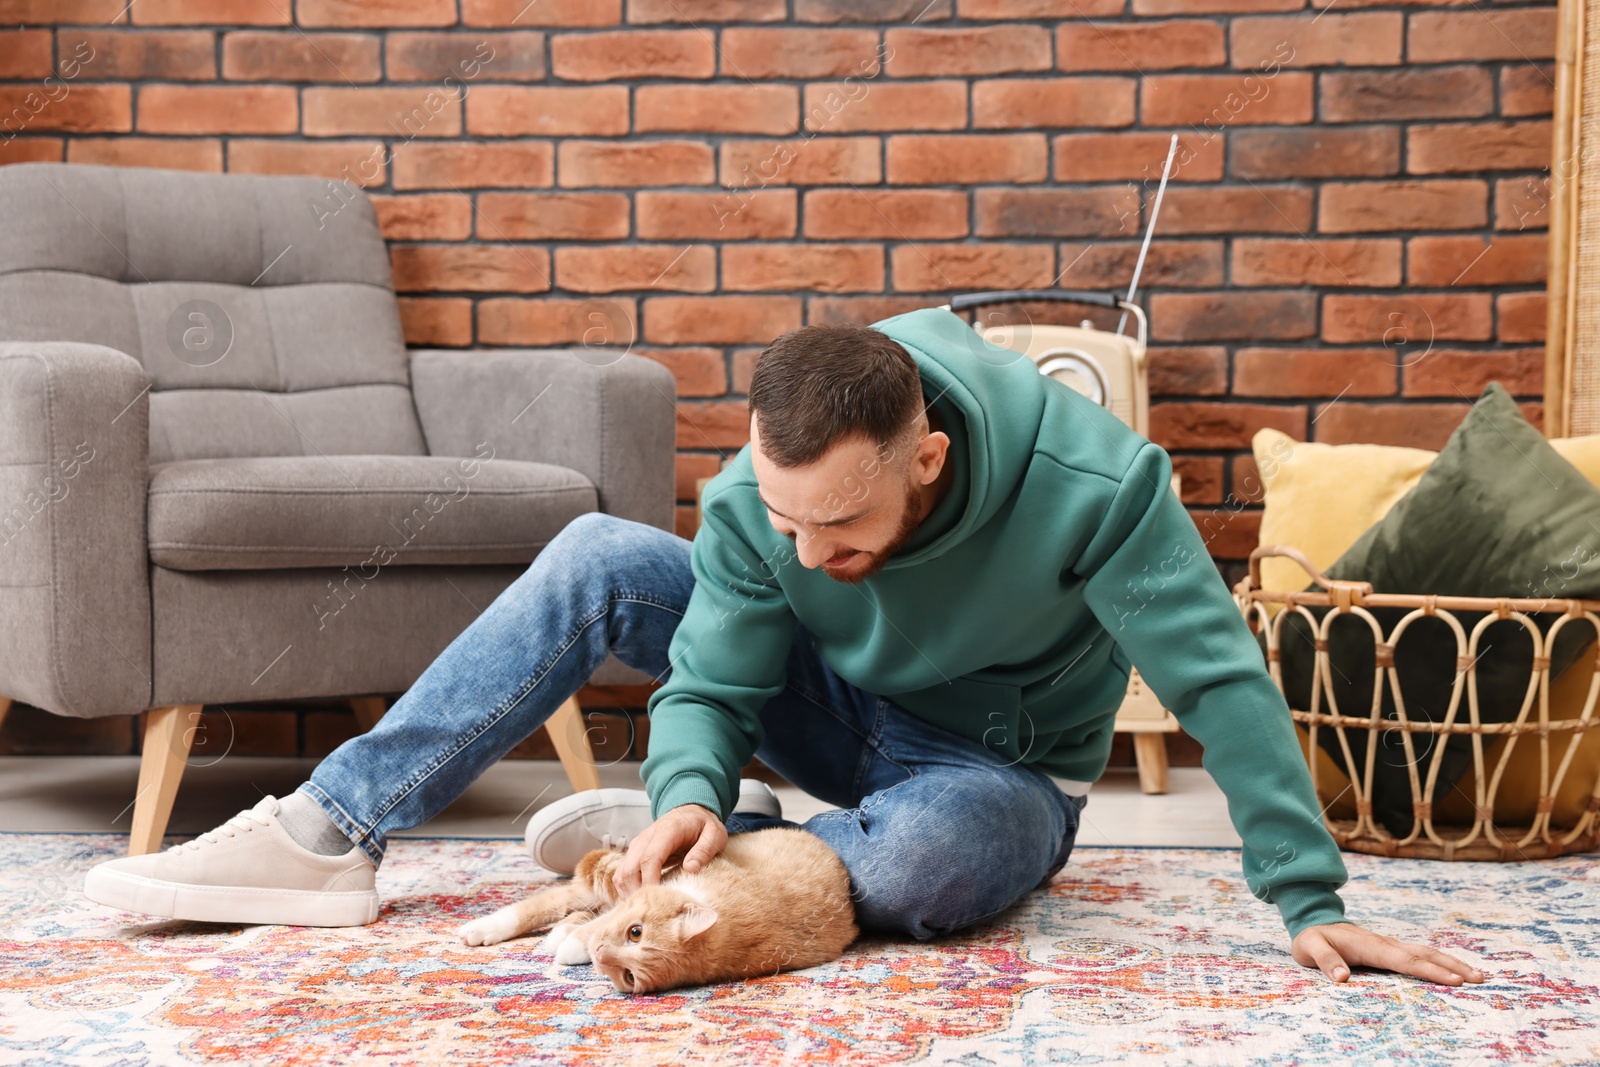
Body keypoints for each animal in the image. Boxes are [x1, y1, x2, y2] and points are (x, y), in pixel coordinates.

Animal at [460, 825, 857, 991]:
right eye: (635, 931)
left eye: (629, 976)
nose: (599, 954)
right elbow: (601, 913)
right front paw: (578, 939)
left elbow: (594, 921)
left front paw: (574, 943)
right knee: (553, 902)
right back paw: (482, 929)